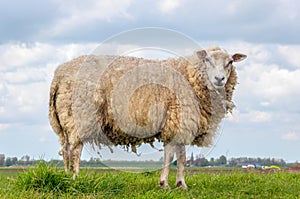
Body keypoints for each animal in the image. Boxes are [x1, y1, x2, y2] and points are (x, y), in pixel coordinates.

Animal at [48, 45, 246, 190]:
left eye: (230, 62)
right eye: (207, 60)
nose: (219, 79)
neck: (191, 75)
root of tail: (59, 74)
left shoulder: (178, 124)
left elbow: (181, 156)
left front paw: (181, 184)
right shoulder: (176, 121)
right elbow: (171, 156)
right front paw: (165, 184)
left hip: (64, 120)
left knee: (66, 149)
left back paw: (66, 176)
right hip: (79, 117)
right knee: (75, 149)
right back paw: (75, 177)